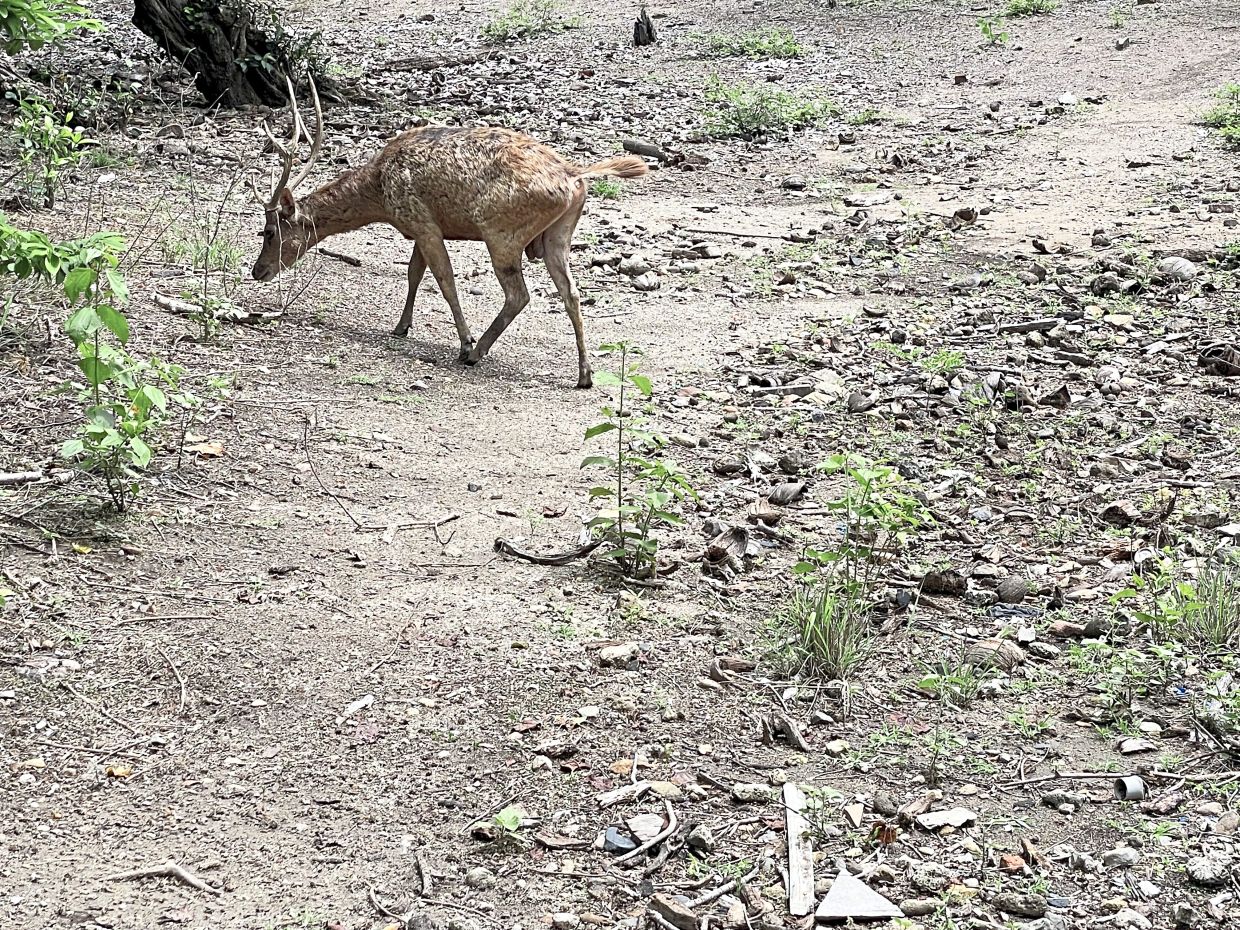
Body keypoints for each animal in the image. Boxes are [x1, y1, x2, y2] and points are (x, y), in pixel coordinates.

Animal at [244, 74, 649, 389]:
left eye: (269, 232)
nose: (257, 270)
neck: (379, 193)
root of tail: (574, 176)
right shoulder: (419, 226)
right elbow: (413, 273)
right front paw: (401, 326)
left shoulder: (420, 220)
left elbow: (444, 278)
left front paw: (464, 341)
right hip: (558, 236)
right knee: (572, 293)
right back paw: (585, 374)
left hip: (501, 231)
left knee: (519, 294)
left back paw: (477, 352)